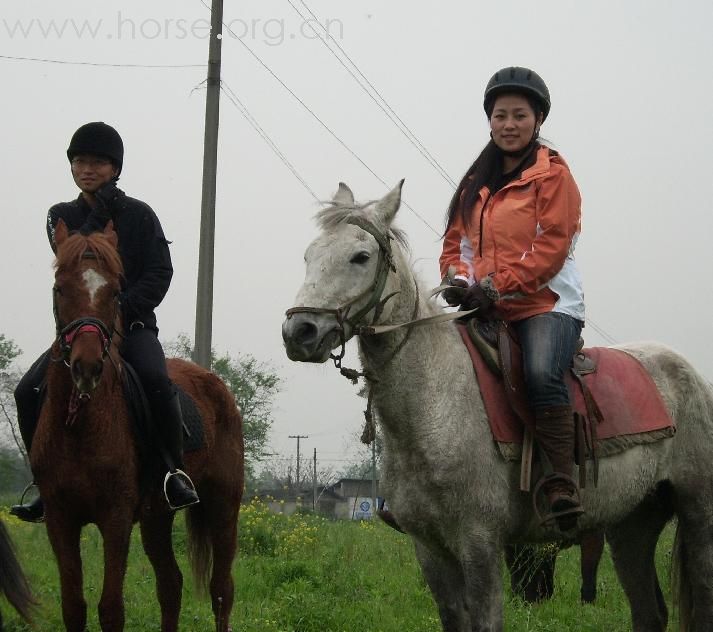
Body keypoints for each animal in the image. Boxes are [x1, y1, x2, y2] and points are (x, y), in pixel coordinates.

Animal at [30, 220, 245, 628]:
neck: (81, 426)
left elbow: (111, 608)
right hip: (156, 517)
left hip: (223, 506)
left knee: (221, 590)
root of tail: (215, 383)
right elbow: (74, 607)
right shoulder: (60, 519)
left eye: (115, 292)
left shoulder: (114, 518)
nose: (87, 367)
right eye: (59, 288)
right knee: (171, 585)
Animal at [280, 183, 712, 632]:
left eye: (360, 257)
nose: (299, 332)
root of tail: (691, 376)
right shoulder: (429, 549)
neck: (434, 407)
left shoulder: (480, 543)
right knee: (649, 611)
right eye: (309, 255)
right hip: (633, 523)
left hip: (698, 513)